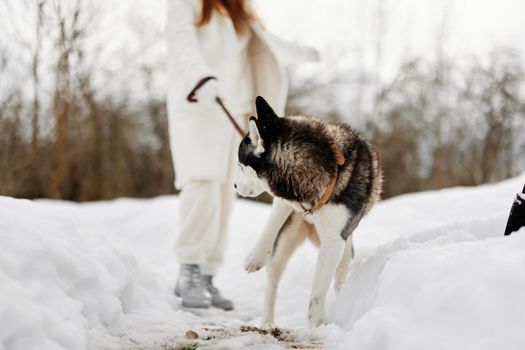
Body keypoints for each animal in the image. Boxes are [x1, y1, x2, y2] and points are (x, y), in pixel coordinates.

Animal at [234, 95, 380, 326]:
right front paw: (254, 257)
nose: (234, 186)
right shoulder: (285, 198)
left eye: (240, 165)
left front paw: (317, 322)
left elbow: (319, 289)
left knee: (338, 276)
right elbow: (270, 225)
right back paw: (267, 322)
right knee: (273, 278)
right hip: (286, 243)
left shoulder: (334, 241)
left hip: (344, 250)